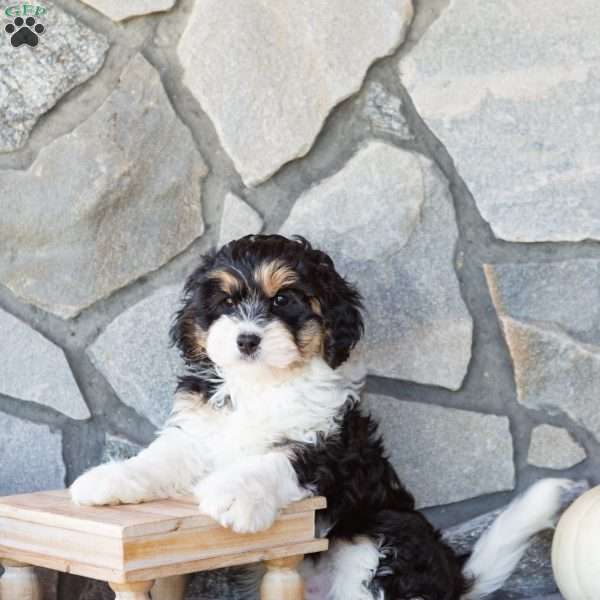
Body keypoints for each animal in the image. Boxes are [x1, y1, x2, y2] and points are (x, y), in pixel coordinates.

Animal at [72, 236, 576, 600]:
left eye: (283, 301)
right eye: (227, 304)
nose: (247, 339)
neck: (263, 384)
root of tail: (452, 578)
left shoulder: (331, 446)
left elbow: (276, 459)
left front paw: (232, 494)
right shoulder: (201, 428)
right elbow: (162, 457)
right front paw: (108, 480)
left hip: (382, 550)